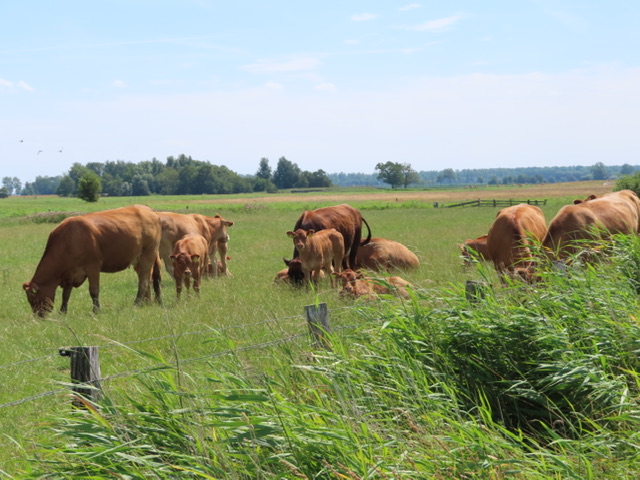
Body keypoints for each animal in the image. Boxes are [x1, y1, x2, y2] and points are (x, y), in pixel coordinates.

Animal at [23, 204, 162, 317]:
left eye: (32, 299)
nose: (38, 316)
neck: (69, 240)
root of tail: (148, 210)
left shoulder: (92, 267)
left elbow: (94, 290)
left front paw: (96, 311)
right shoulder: (69, 274)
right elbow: (66, 294)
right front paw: (63, 312)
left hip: (148, 254)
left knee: (144, 281)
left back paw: (137, 303)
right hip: (139, 259)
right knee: (148, 278)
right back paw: (147, 302)